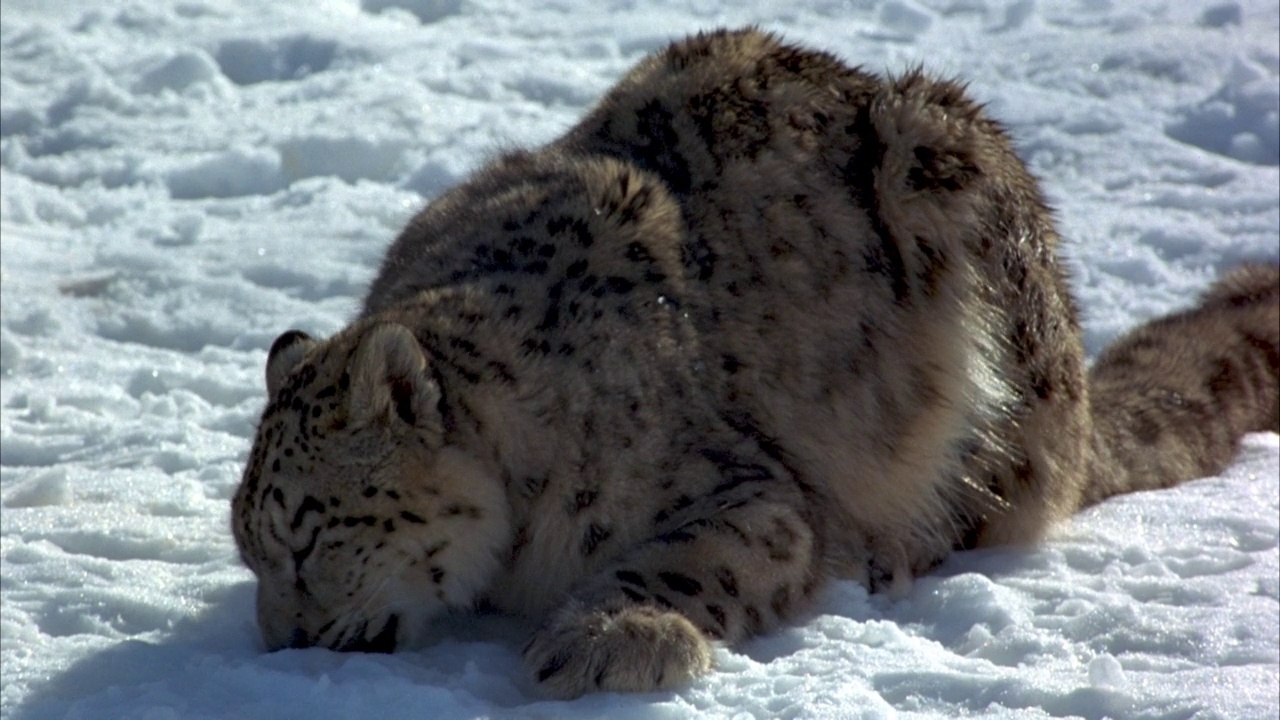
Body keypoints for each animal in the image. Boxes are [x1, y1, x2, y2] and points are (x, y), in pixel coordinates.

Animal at [232, 28, 1280, 696]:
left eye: (306, 536)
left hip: (962, 224)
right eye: (251, 550)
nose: (284, 647)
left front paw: (608, 638)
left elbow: (691, 560)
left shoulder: (758, 498)